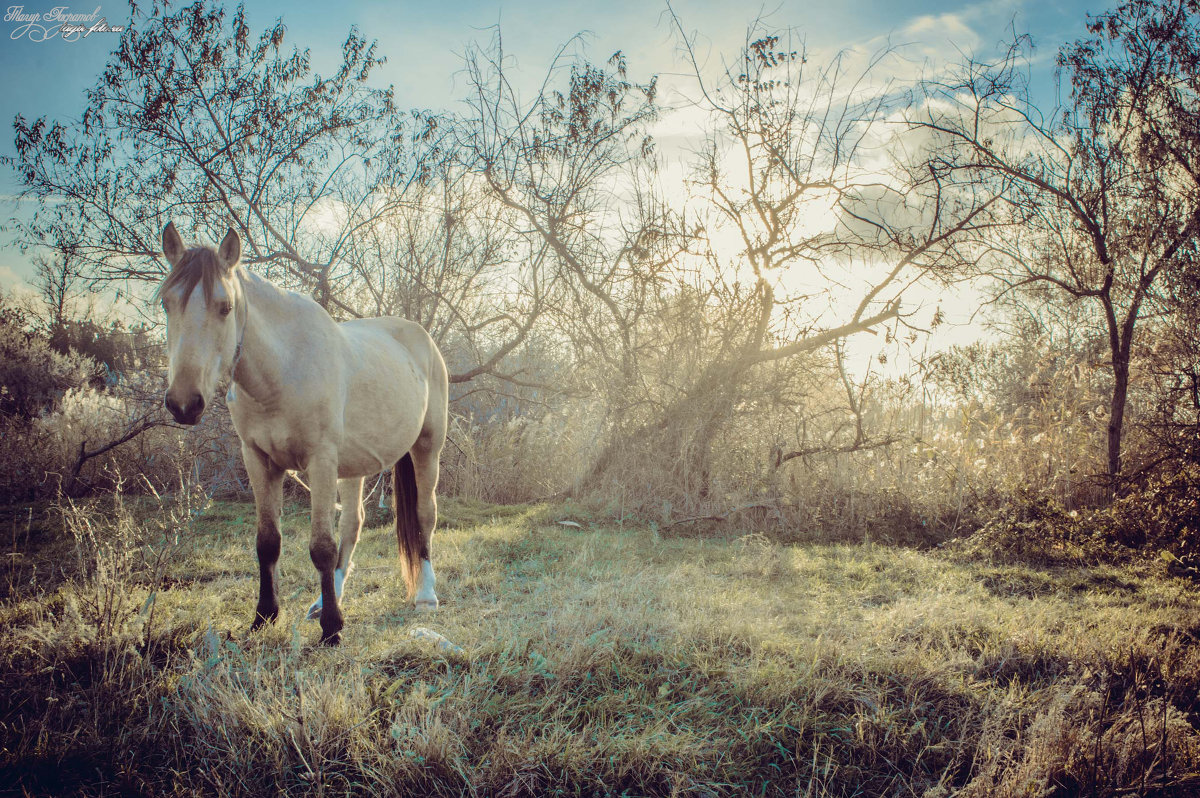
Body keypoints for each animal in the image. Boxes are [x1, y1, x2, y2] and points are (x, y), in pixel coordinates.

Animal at [154, 222, 446, 643]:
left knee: (424, 516)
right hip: (353, 466)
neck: (283, 371)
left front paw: (332, 630)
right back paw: (326, 600)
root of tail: (421, 338)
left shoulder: (320, 460)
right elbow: (268, 542)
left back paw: (425, 595)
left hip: (426, 448)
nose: (183, 403)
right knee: (353, 524)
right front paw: (264, 616)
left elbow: (321, 546)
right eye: (166, 303)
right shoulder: (258, 460)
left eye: (225, 307)